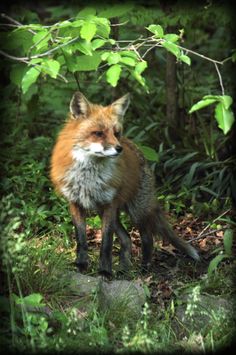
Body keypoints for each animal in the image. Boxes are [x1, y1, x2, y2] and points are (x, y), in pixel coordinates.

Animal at [50, 92, 199, 278]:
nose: (119, 148)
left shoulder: (109, 204)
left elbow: (106, 243)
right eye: (98, 133)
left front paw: (105, 272)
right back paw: (124, 268)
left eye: (116, 133)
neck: (88, 176)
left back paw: (144, 268)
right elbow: (81, 240)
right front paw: (81, 265)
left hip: (136, 212)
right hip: (105, 212)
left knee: (147, 239)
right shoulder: (75, 203)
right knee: (127, 238)